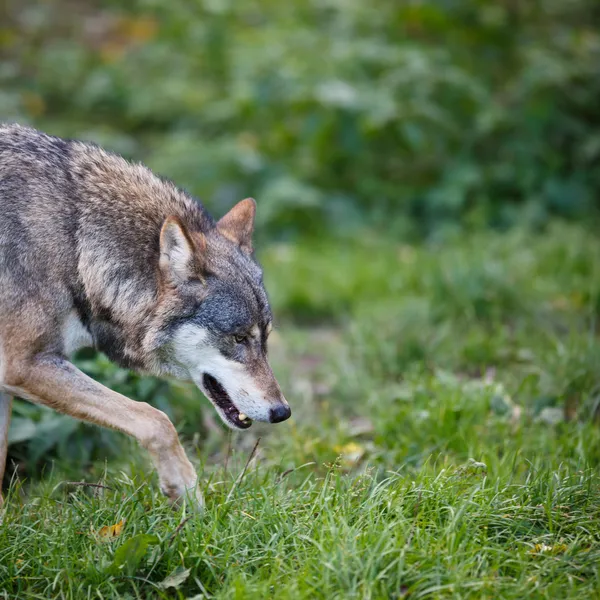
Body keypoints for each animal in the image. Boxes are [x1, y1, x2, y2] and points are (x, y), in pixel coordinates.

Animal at [0, 124, 290, 508]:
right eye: (239, 338)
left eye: (265, 338)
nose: (282, 412)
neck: (74, 243)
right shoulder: (24, 363)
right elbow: (157, 418)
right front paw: (185, 490)